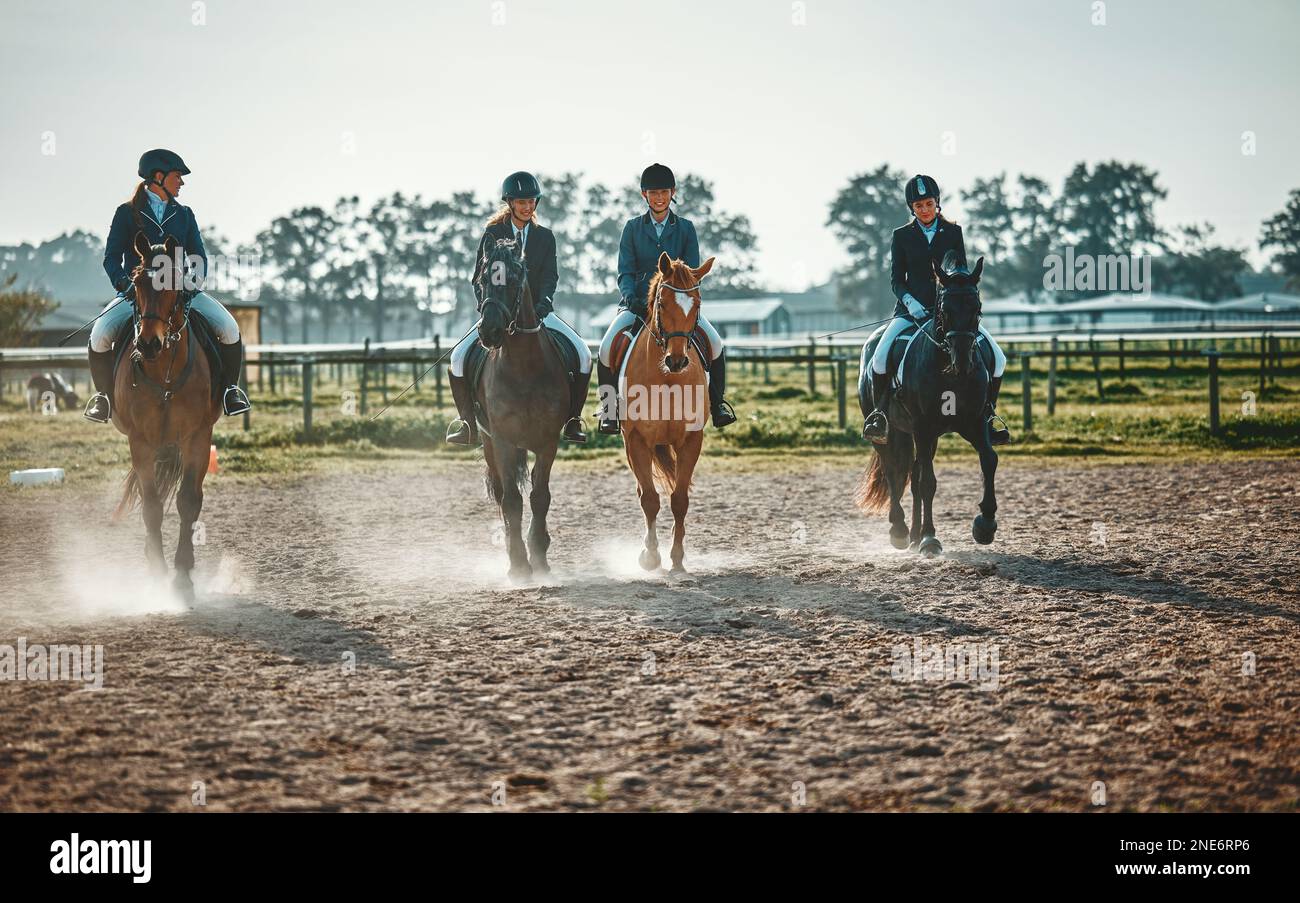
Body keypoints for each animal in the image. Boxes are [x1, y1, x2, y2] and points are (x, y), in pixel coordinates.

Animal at [110, 232, 221, 601]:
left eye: (172, 283)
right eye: (136, 283)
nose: (148, 344)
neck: (165, 374)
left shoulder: (198, 437)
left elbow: (188, 501)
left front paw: (183, 575)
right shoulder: (140, 441)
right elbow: (152, 506)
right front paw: (158, 573)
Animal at [474, 236, 574, 582]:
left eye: (515, 280)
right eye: (482, 281)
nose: (489, 332)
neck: (523, 366)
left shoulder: (548, 441)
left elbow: (539, 496)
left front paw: (539, 557)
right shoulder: (503, 440)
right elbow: (513, 501)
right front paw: (518, 563)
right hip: (488, 441)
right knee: (502, 493)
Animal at [619, 252, 715, 574]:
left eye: (697, 304)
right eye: (662, 303)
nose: (677, 360)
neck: (668, 379)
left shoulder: (691, 440)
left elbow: (679, 499)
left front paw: (677, 559)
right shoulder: (636, 440)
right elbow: (649, 499)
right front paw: (650, 556)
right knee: (642, 492)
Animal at [854, 254, 998, 557]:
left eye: (977, 307)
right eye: (944, 309)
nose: (962, 362)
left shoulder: (975, 422)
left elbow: (989, 460)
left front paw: (985, 525)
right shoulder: (923, 427)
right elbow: (929, 482)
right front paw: (931, 538)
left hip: (923, 437)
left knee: (914, 476)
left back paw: (913, 535)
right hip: (891, 433)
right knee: (894, 471)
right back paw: (900, 531)